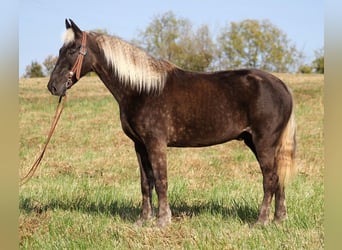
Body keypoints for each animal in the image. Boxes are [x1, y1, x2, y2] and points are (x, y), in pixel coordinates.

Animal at [46, 18, 296, 228]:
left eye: (72, 50)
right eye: (60, 50)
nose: (53, 87)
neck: (142, 89)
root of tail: (280, 85)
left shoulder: (156, 143)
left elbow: (161, 180)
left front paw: (162, 220)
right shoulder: (140, 145)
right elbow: (146, 182)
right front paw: (143, 220)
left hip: (263, 142)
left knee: (270, 178)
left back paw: (261, 221)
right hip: (256, 142)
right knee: (279, 176)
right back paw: (279, 219)